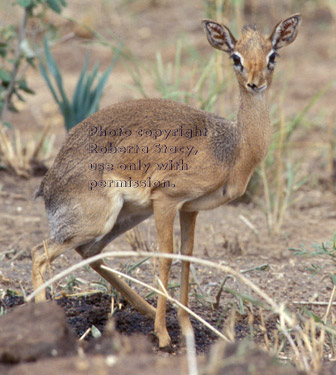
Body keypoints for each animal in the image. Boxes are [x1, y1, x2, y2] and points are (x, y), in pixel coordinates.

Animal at [32, 14, 302, 350]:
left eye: (272, 55)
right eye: (236, 57)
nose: (255, 83)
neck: (232, 148)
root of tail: (48, 184)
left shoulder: (190, 209)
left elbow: (186, 257)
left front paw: (184, 325)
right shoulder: (166, 200)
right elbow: (165, 257)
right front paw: (162, 335)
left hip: (124, 218)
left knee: (90, 252)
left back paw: (147, 308)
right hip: (99, 220)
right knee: (39, 253)